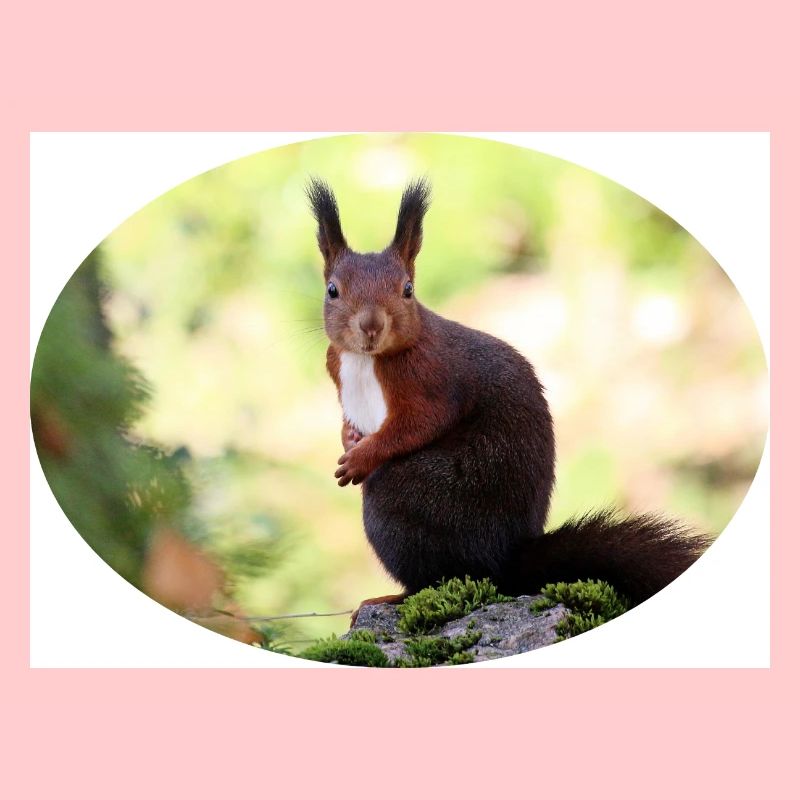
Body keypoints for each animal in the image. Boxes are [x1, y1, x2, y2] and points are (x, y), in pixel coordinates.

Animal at [307, 177, 710, 621]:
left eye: (408, 290)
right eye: (332, 290)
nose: (371, 326)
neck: (366, 360)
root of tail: (502, 561)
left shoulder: (430, 379)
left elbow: (417, 424)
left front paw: (361, 457)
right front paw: (349, 439)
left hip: (406, 501)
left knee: (436, 576)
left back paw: (392, 597)